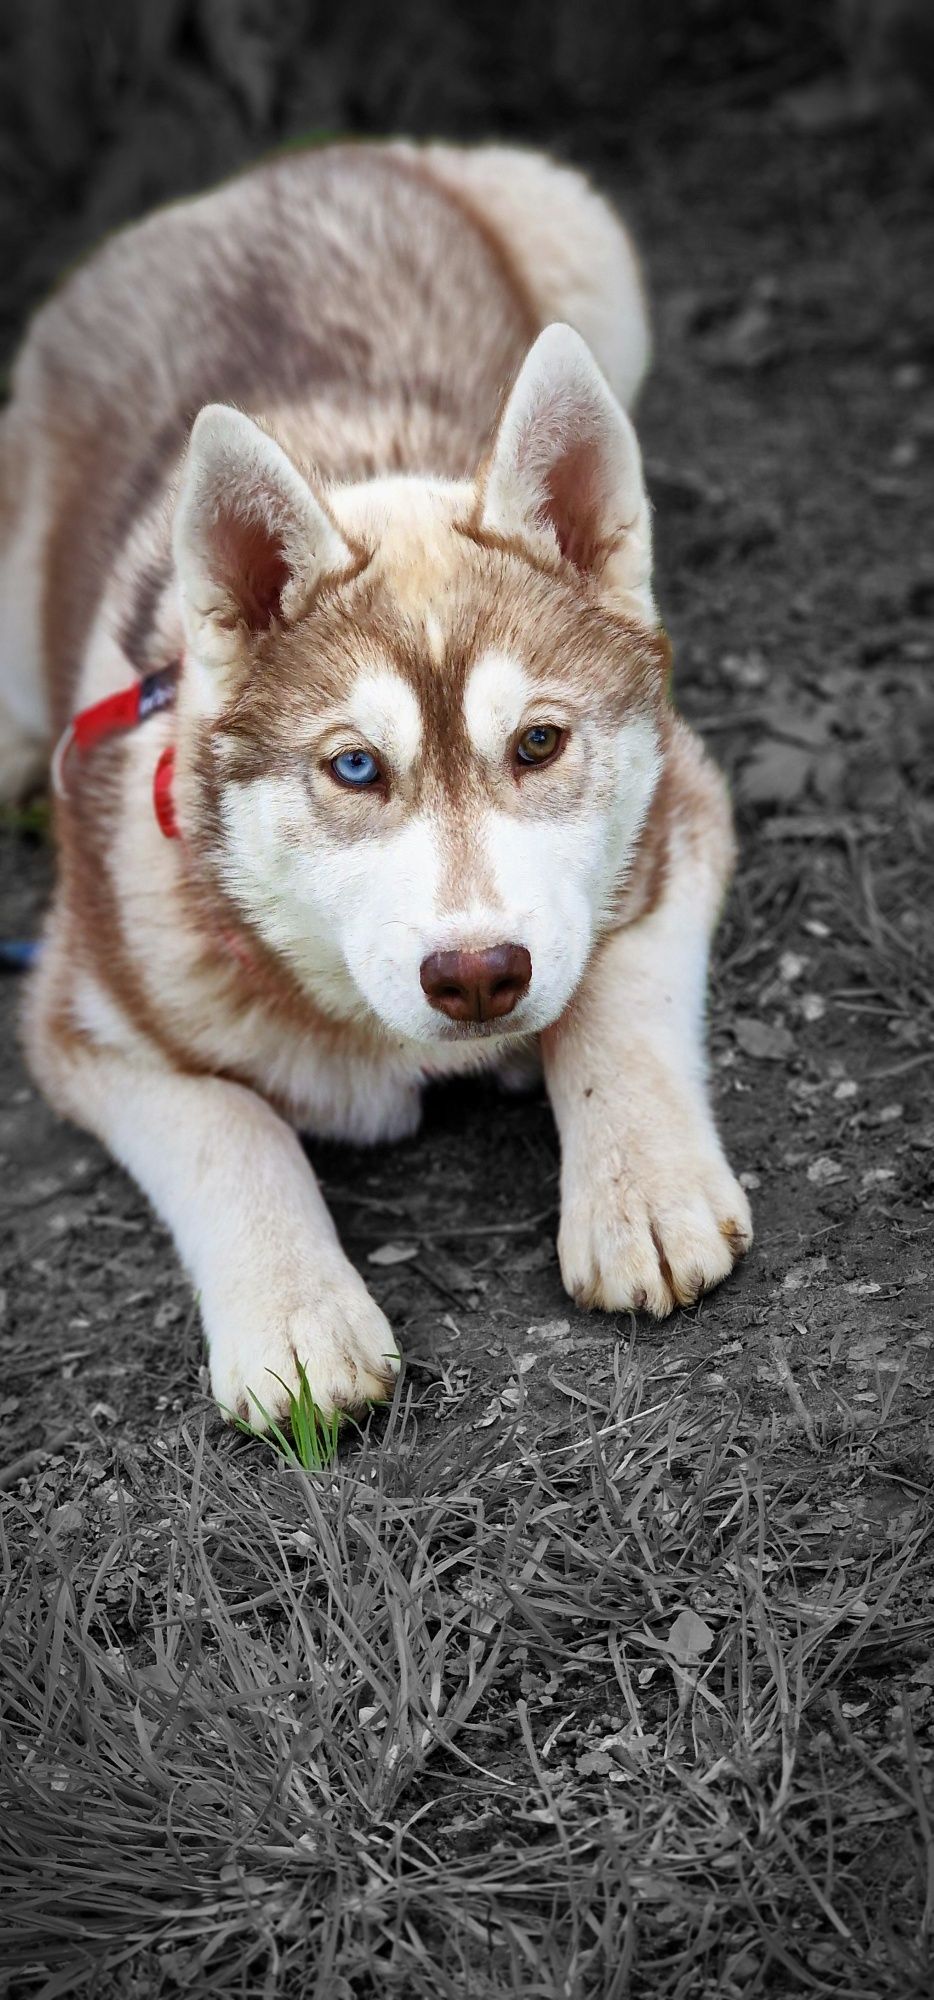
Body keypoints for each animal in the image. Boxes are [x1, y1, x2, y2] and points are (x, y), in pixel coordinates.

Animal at [0, 141, 752, 1424]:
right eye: (355, 766)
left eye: (538, 744)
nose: (478, 974)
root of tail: (259, 177)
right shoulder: (82, 1006)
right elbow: (228, 1121)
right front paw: (297, 1312)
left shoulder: (683, 807)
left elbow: (612, 988)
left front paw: (639, 1186)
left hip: (582, 242)